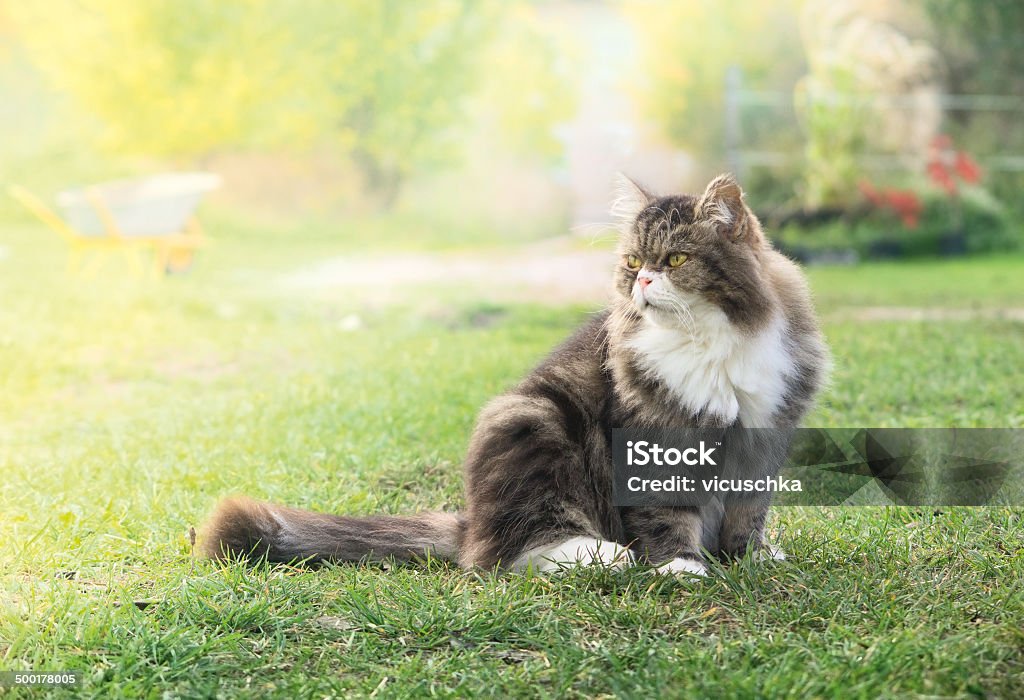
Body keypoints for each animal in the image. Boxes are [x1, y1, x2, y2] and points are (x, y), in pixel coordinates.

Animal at [203, 173, 827, 573]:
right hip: (534, 418)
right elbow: (665, 514)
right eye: (632, 263)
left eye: (674, 260)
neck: (710, 343)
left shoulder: (767, 432)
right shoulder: (651, 433)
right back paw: (604, 556)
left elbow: (749, 513)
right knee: (508, 554)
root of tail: (471, 522)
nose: (644, 282)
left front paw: (749, 556)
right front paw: (682, 567)